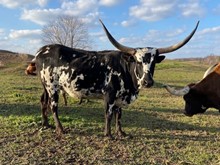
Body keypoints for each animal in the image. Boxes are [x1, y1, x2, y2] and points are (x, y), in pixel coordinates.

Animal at [26, 19, 199, 138]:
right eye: (137, 61)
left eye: (154, 62)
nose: (147, 82)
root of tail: (41, 51)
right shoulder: (109, 95)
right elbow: (109, 114)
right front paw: (108, 134)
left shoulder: (120, 96)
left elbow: (119, 114)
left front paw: (121, 133)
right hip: (52, 86)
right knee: (53, 106)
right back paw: (60, 129)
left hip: (46, 86)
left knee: (43, 101)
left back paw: (46, 124)